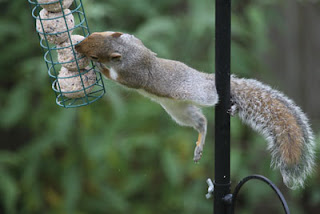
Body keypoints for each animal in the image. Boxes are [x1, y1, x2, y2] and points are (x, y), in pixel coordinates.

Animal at [74, 30, 316, 188]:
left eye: (95, 54)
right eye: (92, 35)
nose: (77, 47)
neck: (127, 51)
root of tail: (204, 78)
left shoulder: (133, 74)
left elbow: (120, 78)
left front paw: (100, 68)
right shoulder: (132, 41)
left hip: (198, 94)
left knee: (212, 101)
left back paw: (230, 105)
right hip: (178, 111)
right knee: (201, 122)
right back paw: (199, 145)